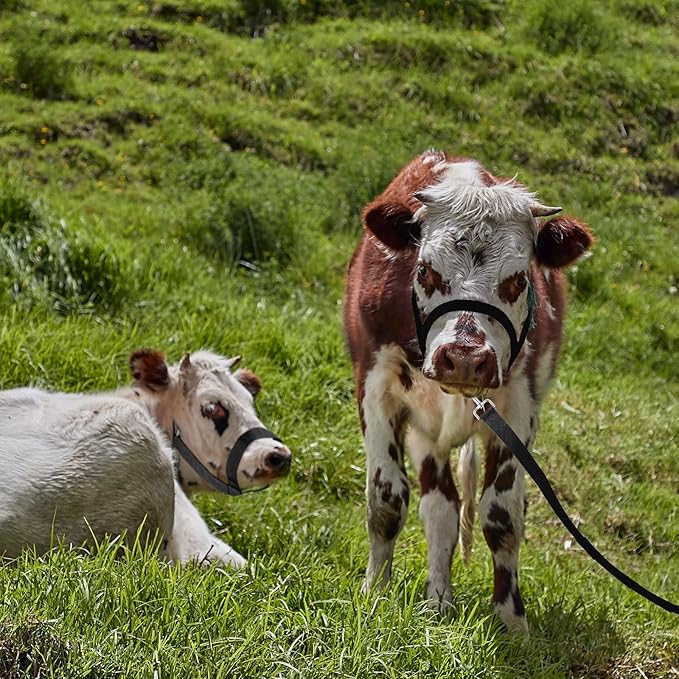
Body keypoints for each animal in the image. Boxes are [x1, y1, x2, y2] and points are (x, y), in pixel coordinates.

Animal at [343, 150, 593, 634]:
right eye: (425, 270)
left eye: (519, 279)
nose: (463, 356)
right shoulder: (376, 389)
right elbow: (386, 500)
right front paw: (374, 593)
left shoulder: (518, 409)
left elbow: (502, 515)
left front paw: (512, 620)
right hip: (426, 430)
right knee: (439, 509)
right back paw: (438, 600)